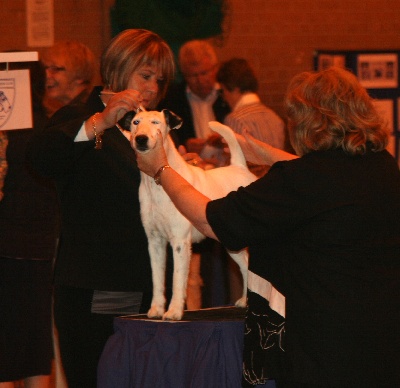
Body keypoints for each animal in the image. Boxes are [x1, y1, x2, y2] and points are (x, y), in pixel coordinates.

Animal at [131, 108, 256, 318]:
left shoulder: (180, 242)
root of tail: (240, 168)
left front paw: (174, 311)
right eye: (135, 122)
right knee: (245, 265)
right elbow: (158, 279)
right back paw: (244, 300)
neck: (157, 184)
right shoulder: (155, 241)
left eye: (156, 122)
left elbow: (177, 279)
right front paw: (156, 309)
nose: (141, 138)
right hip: (232, 245)